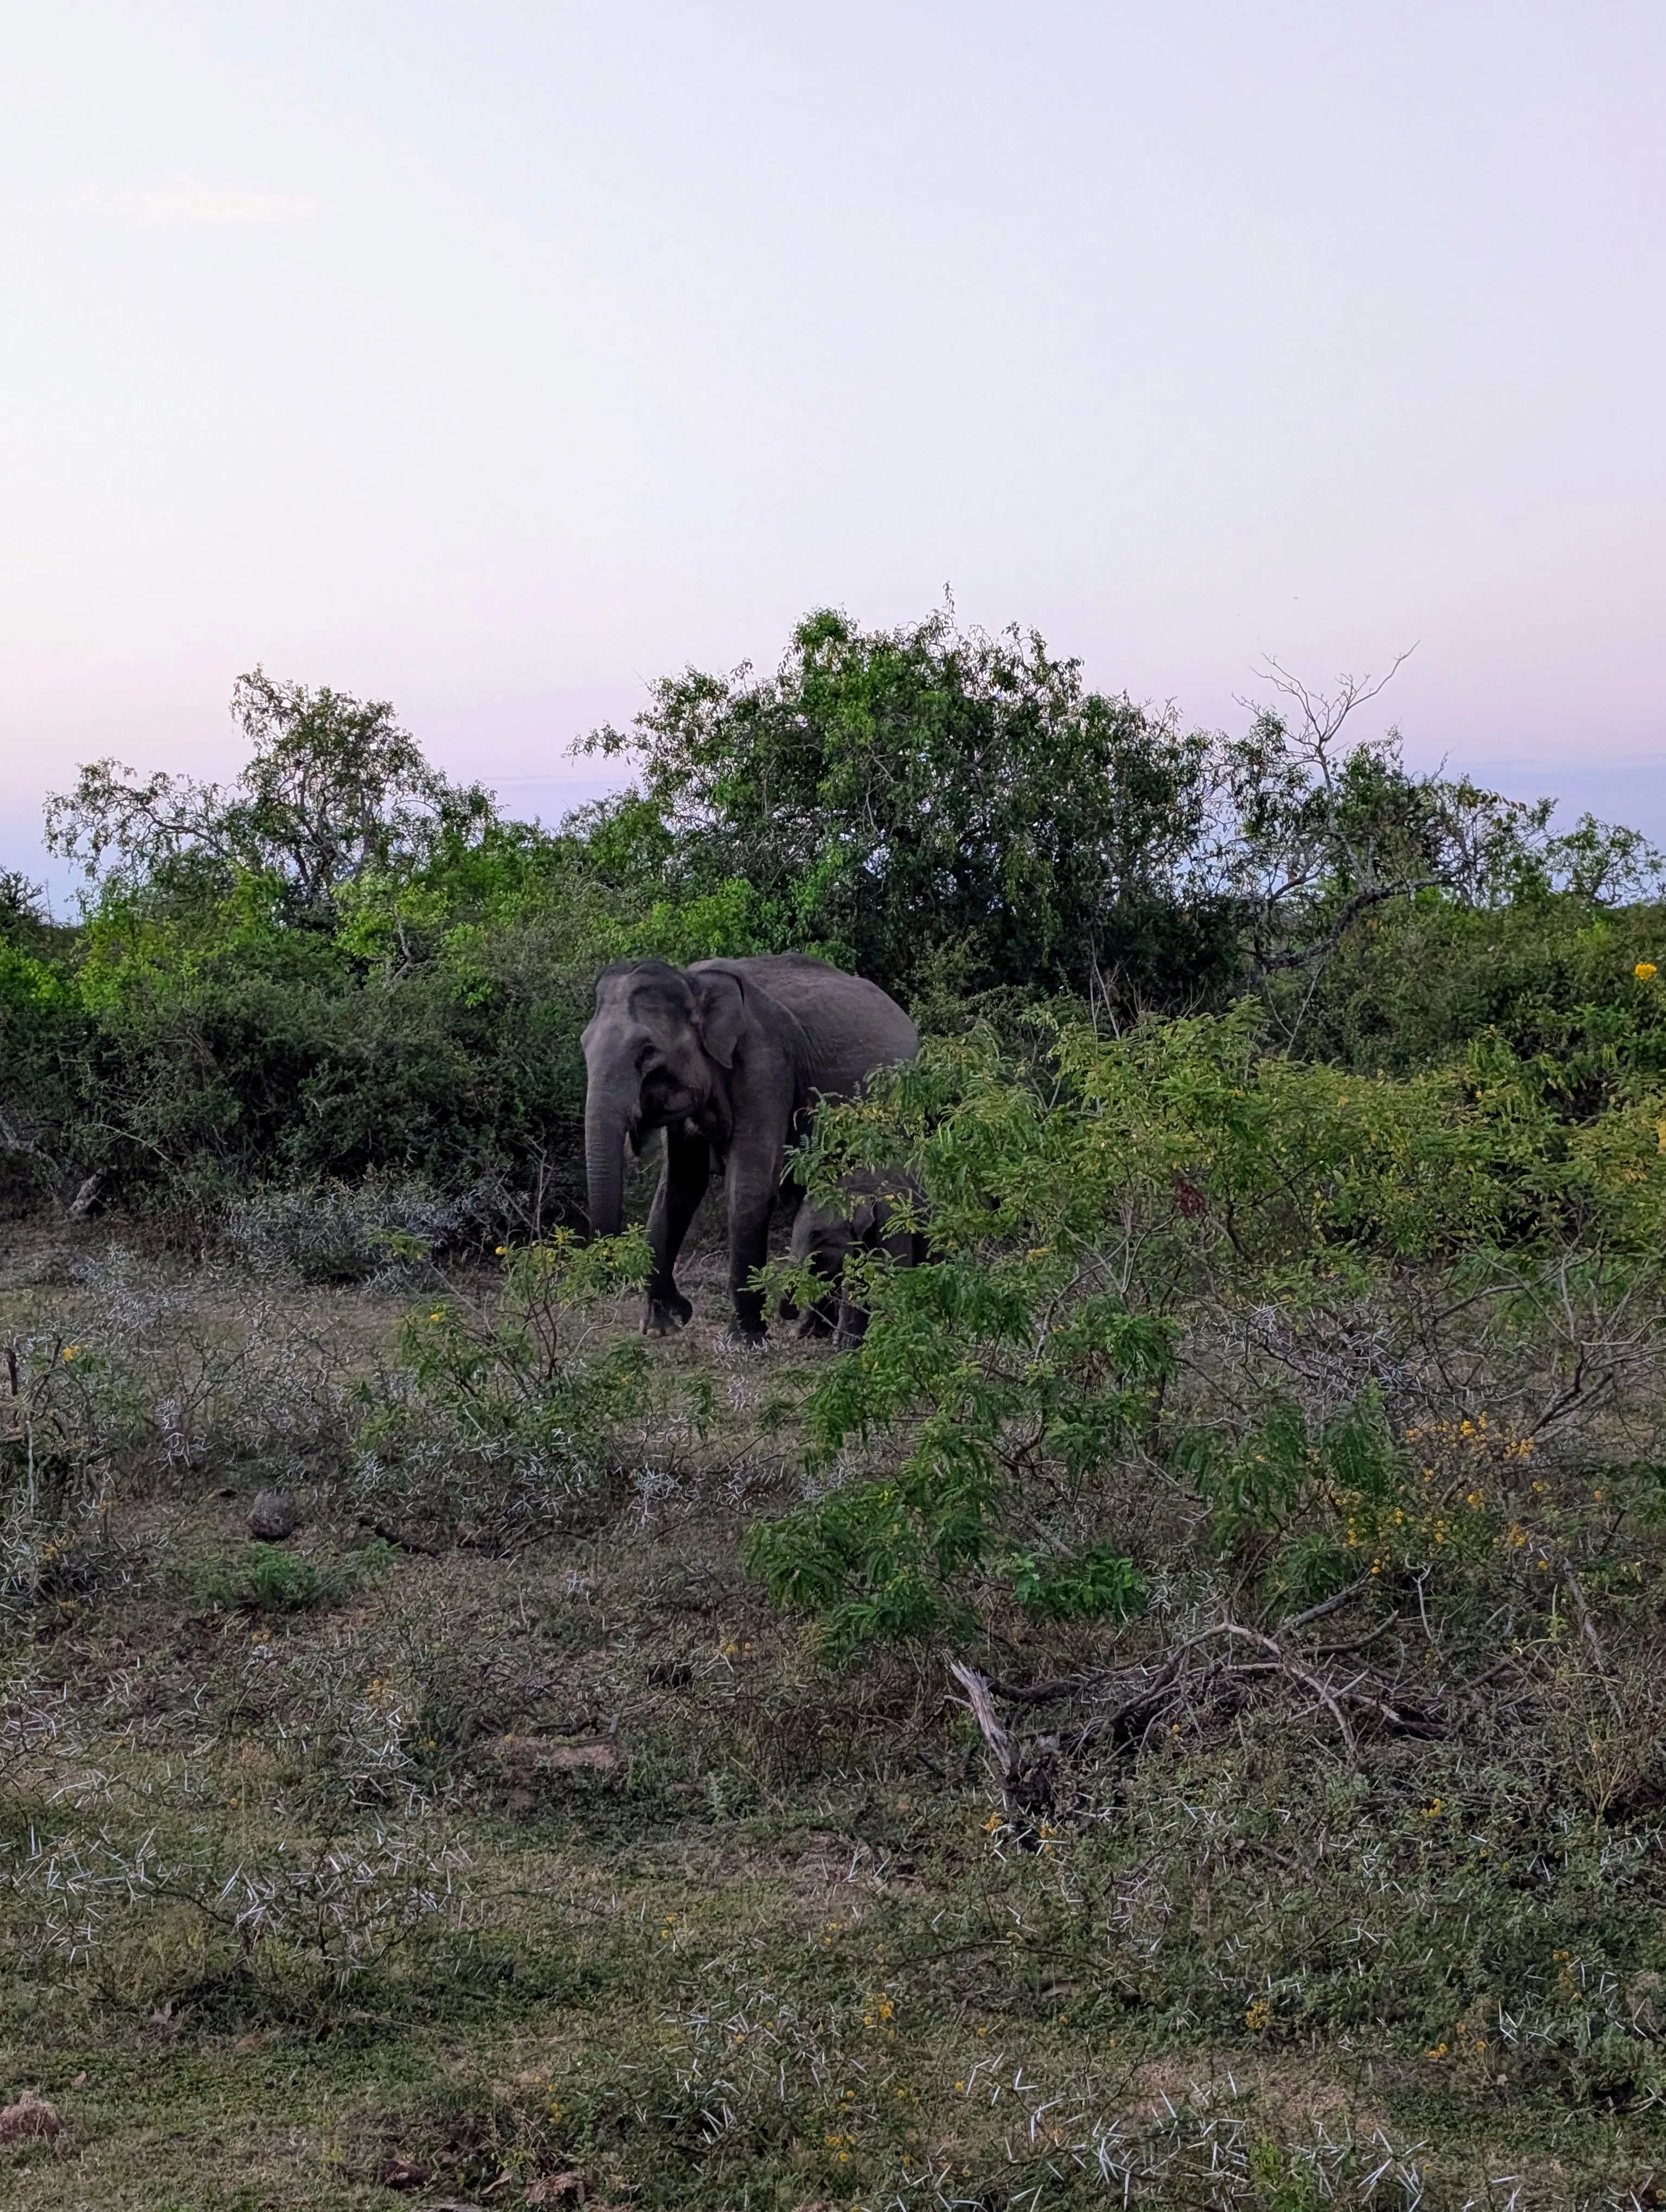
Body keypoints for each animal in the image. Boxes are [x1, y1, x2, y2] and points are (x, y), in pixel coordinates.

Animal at [581, 954, 919, 1342]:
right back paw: (811, 1332)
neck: (693, 983)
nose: (685, 1308)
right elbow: (682, 1184)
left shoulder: (766, 1068)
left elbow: (749, 1186)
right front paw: (661, 1327)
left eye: (648, 1052)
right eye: (583, 1046)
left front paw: (745, 1339)